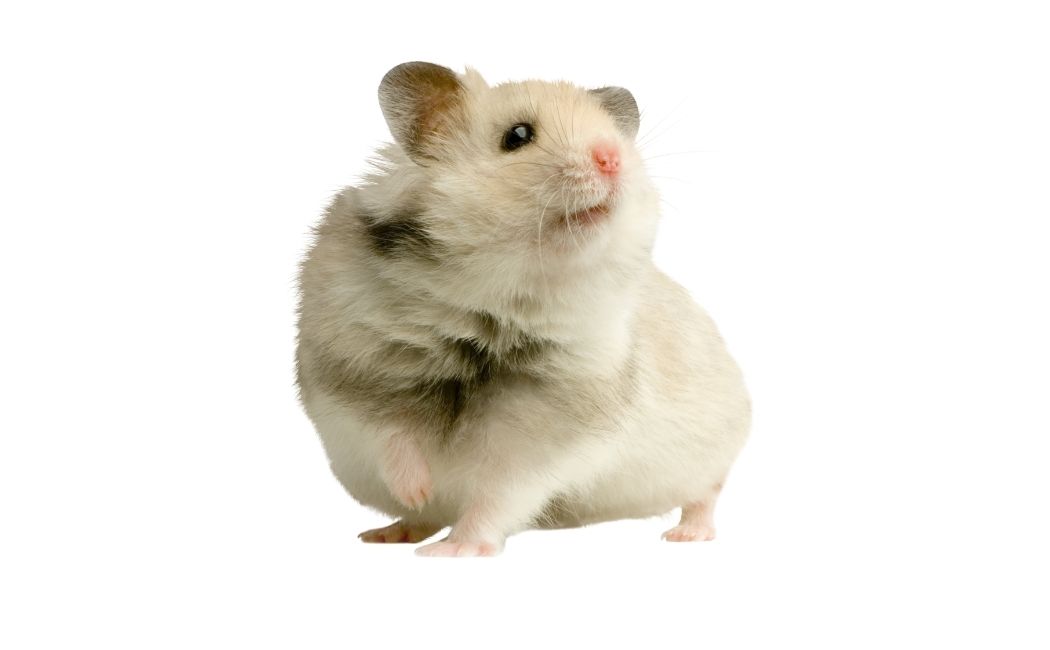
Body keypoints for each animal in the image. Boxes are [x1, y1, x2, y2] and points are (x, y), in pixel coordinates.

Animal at [296, 62, 750, 556]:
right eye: (517, 136)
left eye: (614, 134)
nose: (612, 157)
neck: (489, 304)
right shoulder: (351, 379)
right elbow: (390, 437)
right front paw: (418, 492)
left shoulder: (541, 442)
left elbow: (497, 497)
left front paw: (454, 550)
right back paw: (388, 532)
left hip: (709, 455)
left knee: (706, 494)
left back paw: (687, 534)